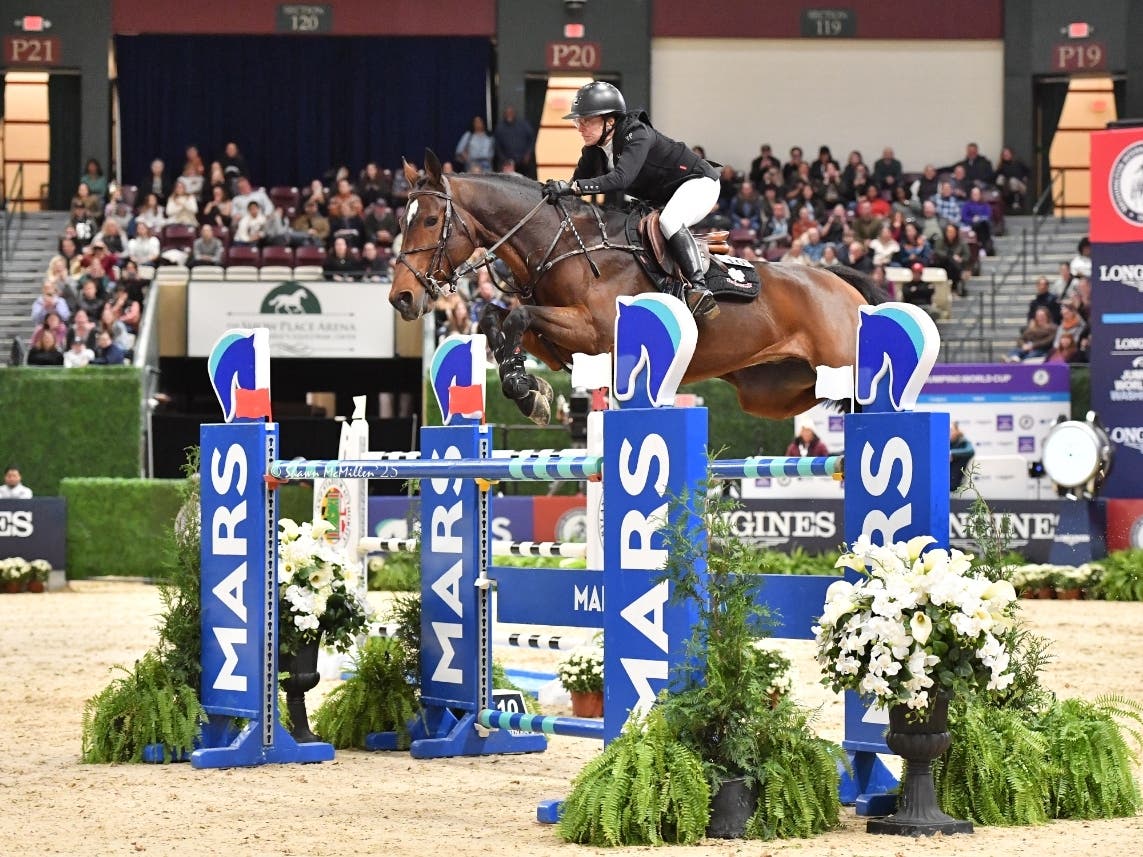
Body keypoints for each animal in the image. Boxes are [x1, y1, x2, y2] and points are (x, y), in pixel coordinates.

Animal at [389, 151, 886, 424]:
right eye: (401, 221)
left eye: (430, 220)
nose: (402, 298)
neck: (564, 246)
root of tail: (840, 283)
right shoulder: (557, 346)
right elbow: (498, 319)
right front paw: (529, 390)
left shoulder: (594, 333)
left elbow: (519, 315)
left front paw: (524, 389)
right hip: (779, 391)